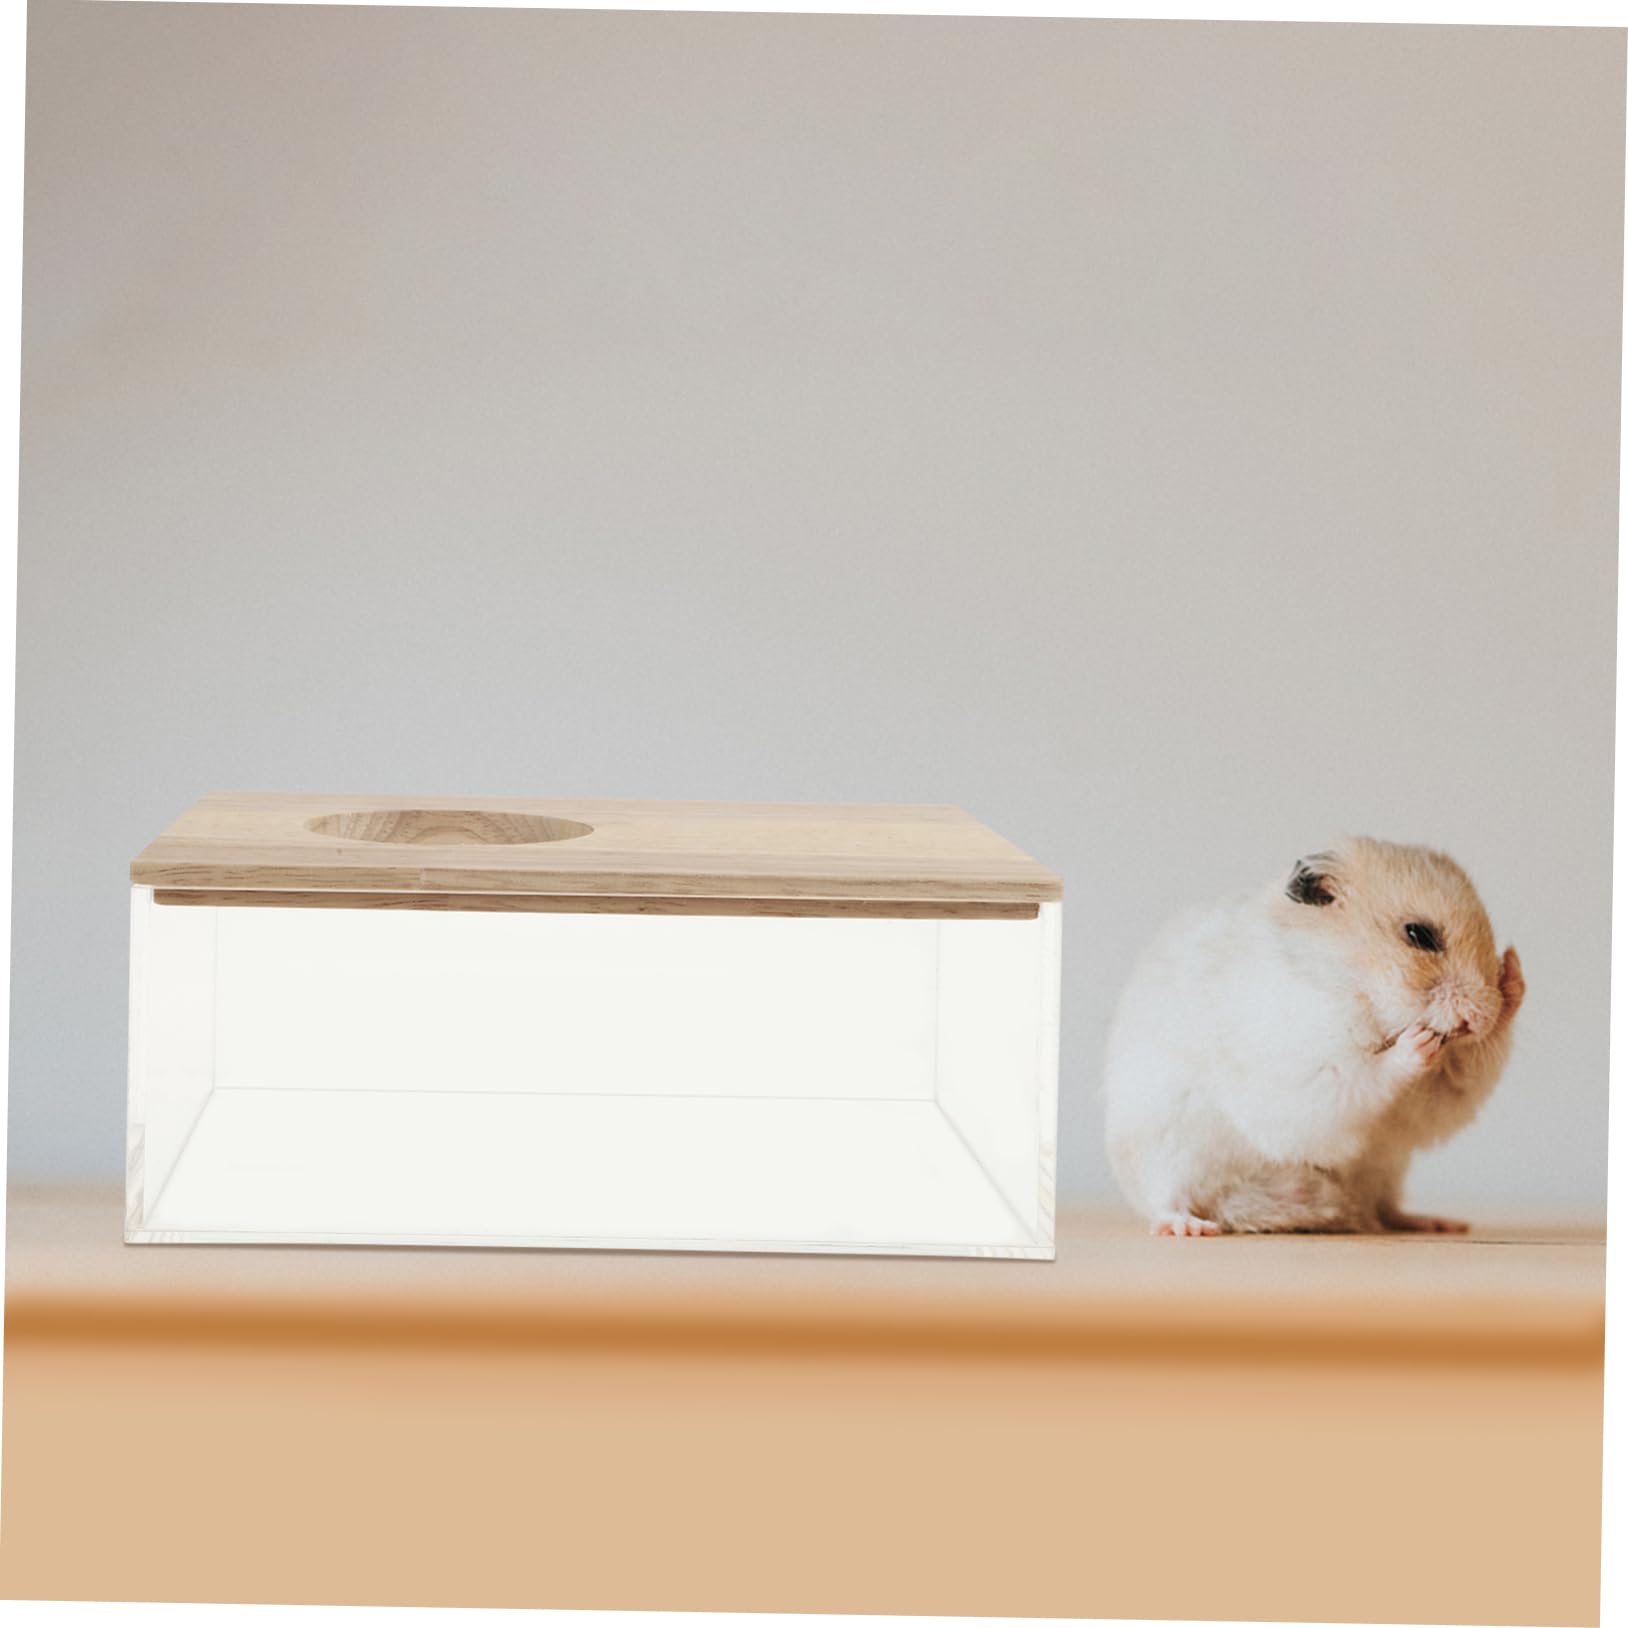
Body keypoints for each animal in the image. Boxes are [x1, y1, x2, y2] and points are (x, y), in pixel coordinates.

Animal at [1103, 836, 1524, 1236]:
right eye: (1419, 935)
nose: (1482, 1017)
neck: (1353, 980)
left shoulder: (1425, 1103)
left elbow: (1457, 1086)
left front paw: (1512, 973)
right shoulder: (1302, 1073)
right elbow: (1362, 1076)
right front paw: (1416, 1044)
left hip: (1386, 1168)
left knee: (1386, 1209)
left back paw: (1434, 1222)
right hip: (1165, 1152)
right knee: (1166, 1200)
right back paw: (1190, 1227)